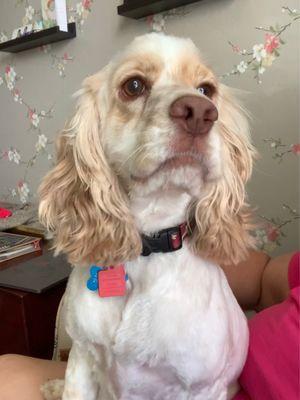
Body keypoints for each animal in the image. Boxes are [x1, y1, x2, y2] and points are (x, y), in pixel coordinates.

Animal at [39, 33, 255, 400]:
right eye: (134, 85)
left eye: (206, 89)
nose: (200, 112)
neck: (150, 246)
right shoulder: (82, 356)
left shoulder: (202, 386)